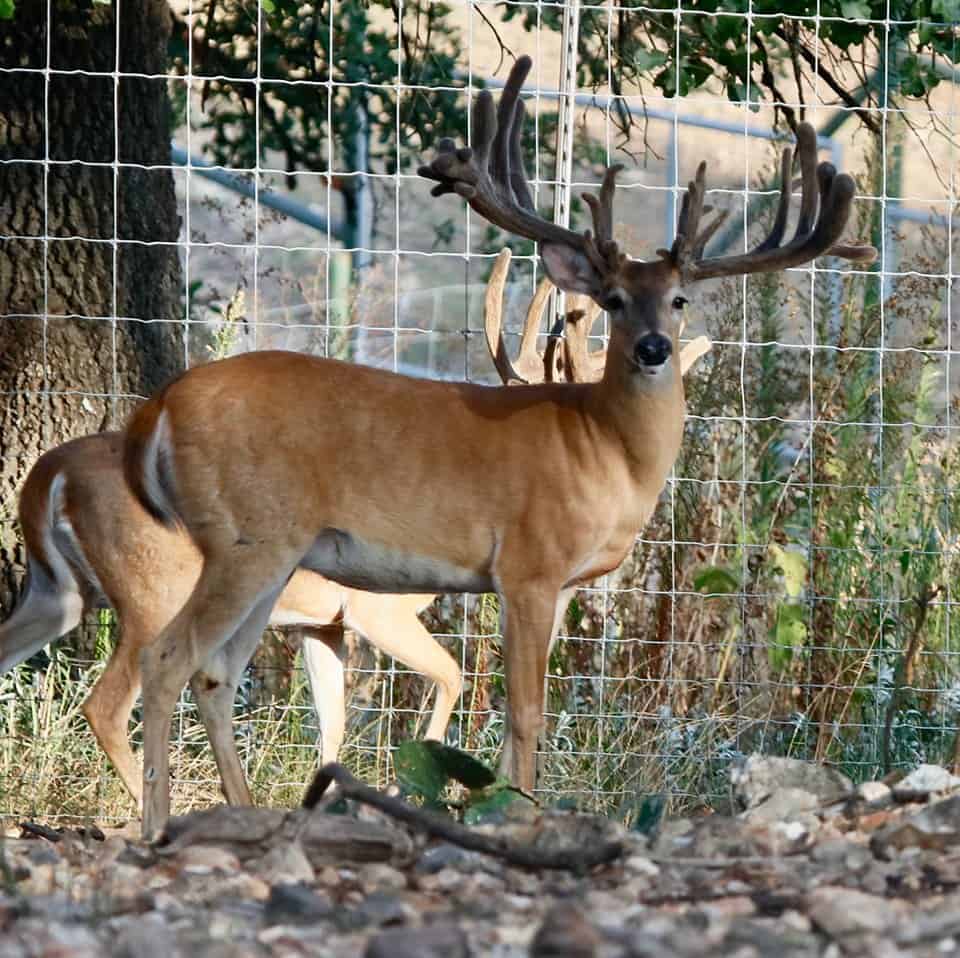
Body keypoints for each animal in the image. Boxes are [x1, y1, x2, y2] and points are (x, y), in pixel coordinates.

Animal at [122, 55, 875, 839]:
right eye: (612, 300)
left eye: (679, 300)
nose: (653, 348)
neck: (603, 446)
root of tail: (159, 407)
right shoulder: (528, 564)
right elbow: (526, 715)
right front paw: (521, 817)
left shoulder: (563, 584)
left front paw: (512, 811)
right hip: (246, 536)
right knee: (167, 656)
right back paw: (155, 825)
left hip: (274, 555)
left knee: (216, 673)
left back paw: (248, 816)